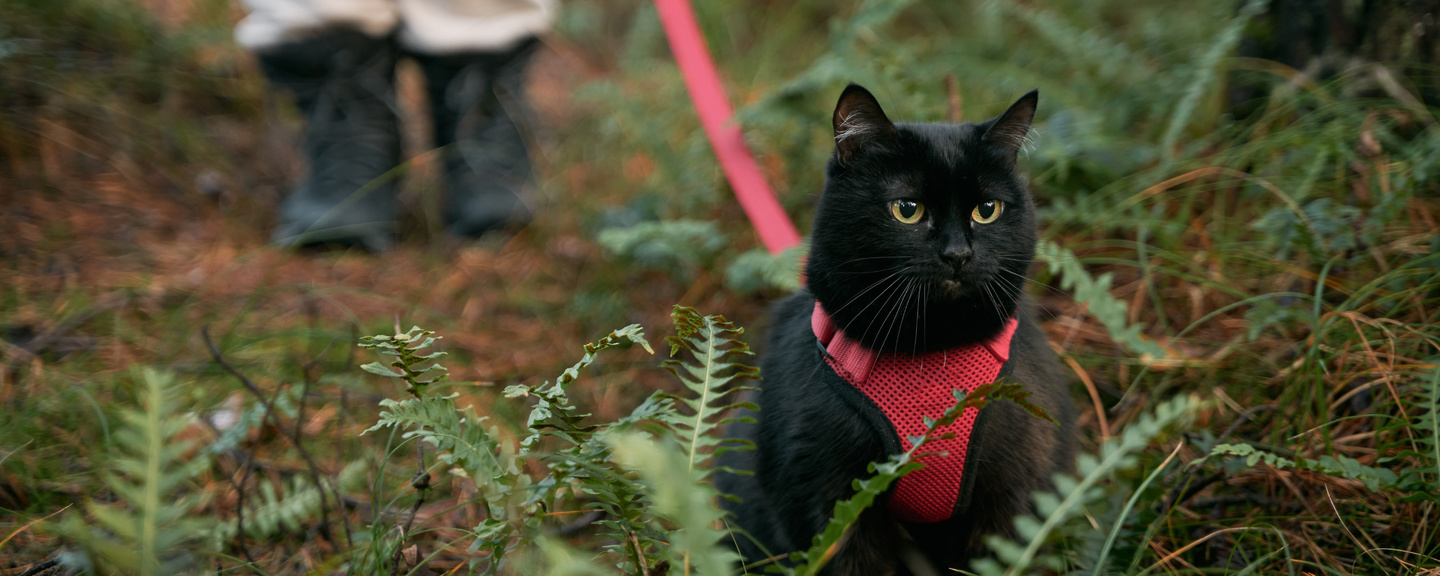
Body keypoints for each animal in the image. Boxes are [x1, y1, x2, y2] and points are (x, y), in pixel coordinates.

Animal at [714, 85, 1077, 576]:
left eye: (987, 209)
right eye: (907, 209)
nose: (958, 253)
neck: (930, 349)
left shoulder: (1016, 493)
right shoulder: (828, 505)